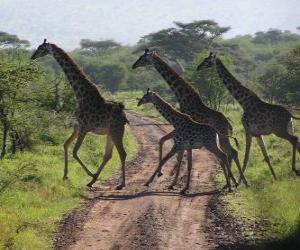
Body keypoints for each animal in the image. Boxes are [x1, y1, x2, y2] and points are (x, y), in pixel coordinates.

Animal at [31, 38, 127, 188]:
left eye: (41, 48)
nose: (32, 56)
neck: (80, 94)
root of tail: (123, 116)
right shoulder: (77, 126)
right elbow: (65, 145)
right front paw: (65, 175)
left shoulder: (83, 128)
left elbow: (75, 152)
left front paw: (90, 173)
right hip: (110, 133)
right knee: (108, 155)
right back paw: (92, 181)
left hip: (116, 131)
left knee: (122, 153)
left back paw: (120, 184)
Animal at [197, 52, 300, 181]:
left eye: (207, 61)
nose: (198, 67)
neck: (243, 102)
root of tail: (290, 115)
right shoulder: (257, 133)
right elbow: (266, 156)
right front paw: (275, 178)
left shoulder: (248, 130)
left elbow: (246, 156)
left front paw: (241, 181)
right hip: (289, 127)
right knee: (297, 141)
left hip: (279, 131)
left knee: (294, 140)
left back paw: (295, 169)